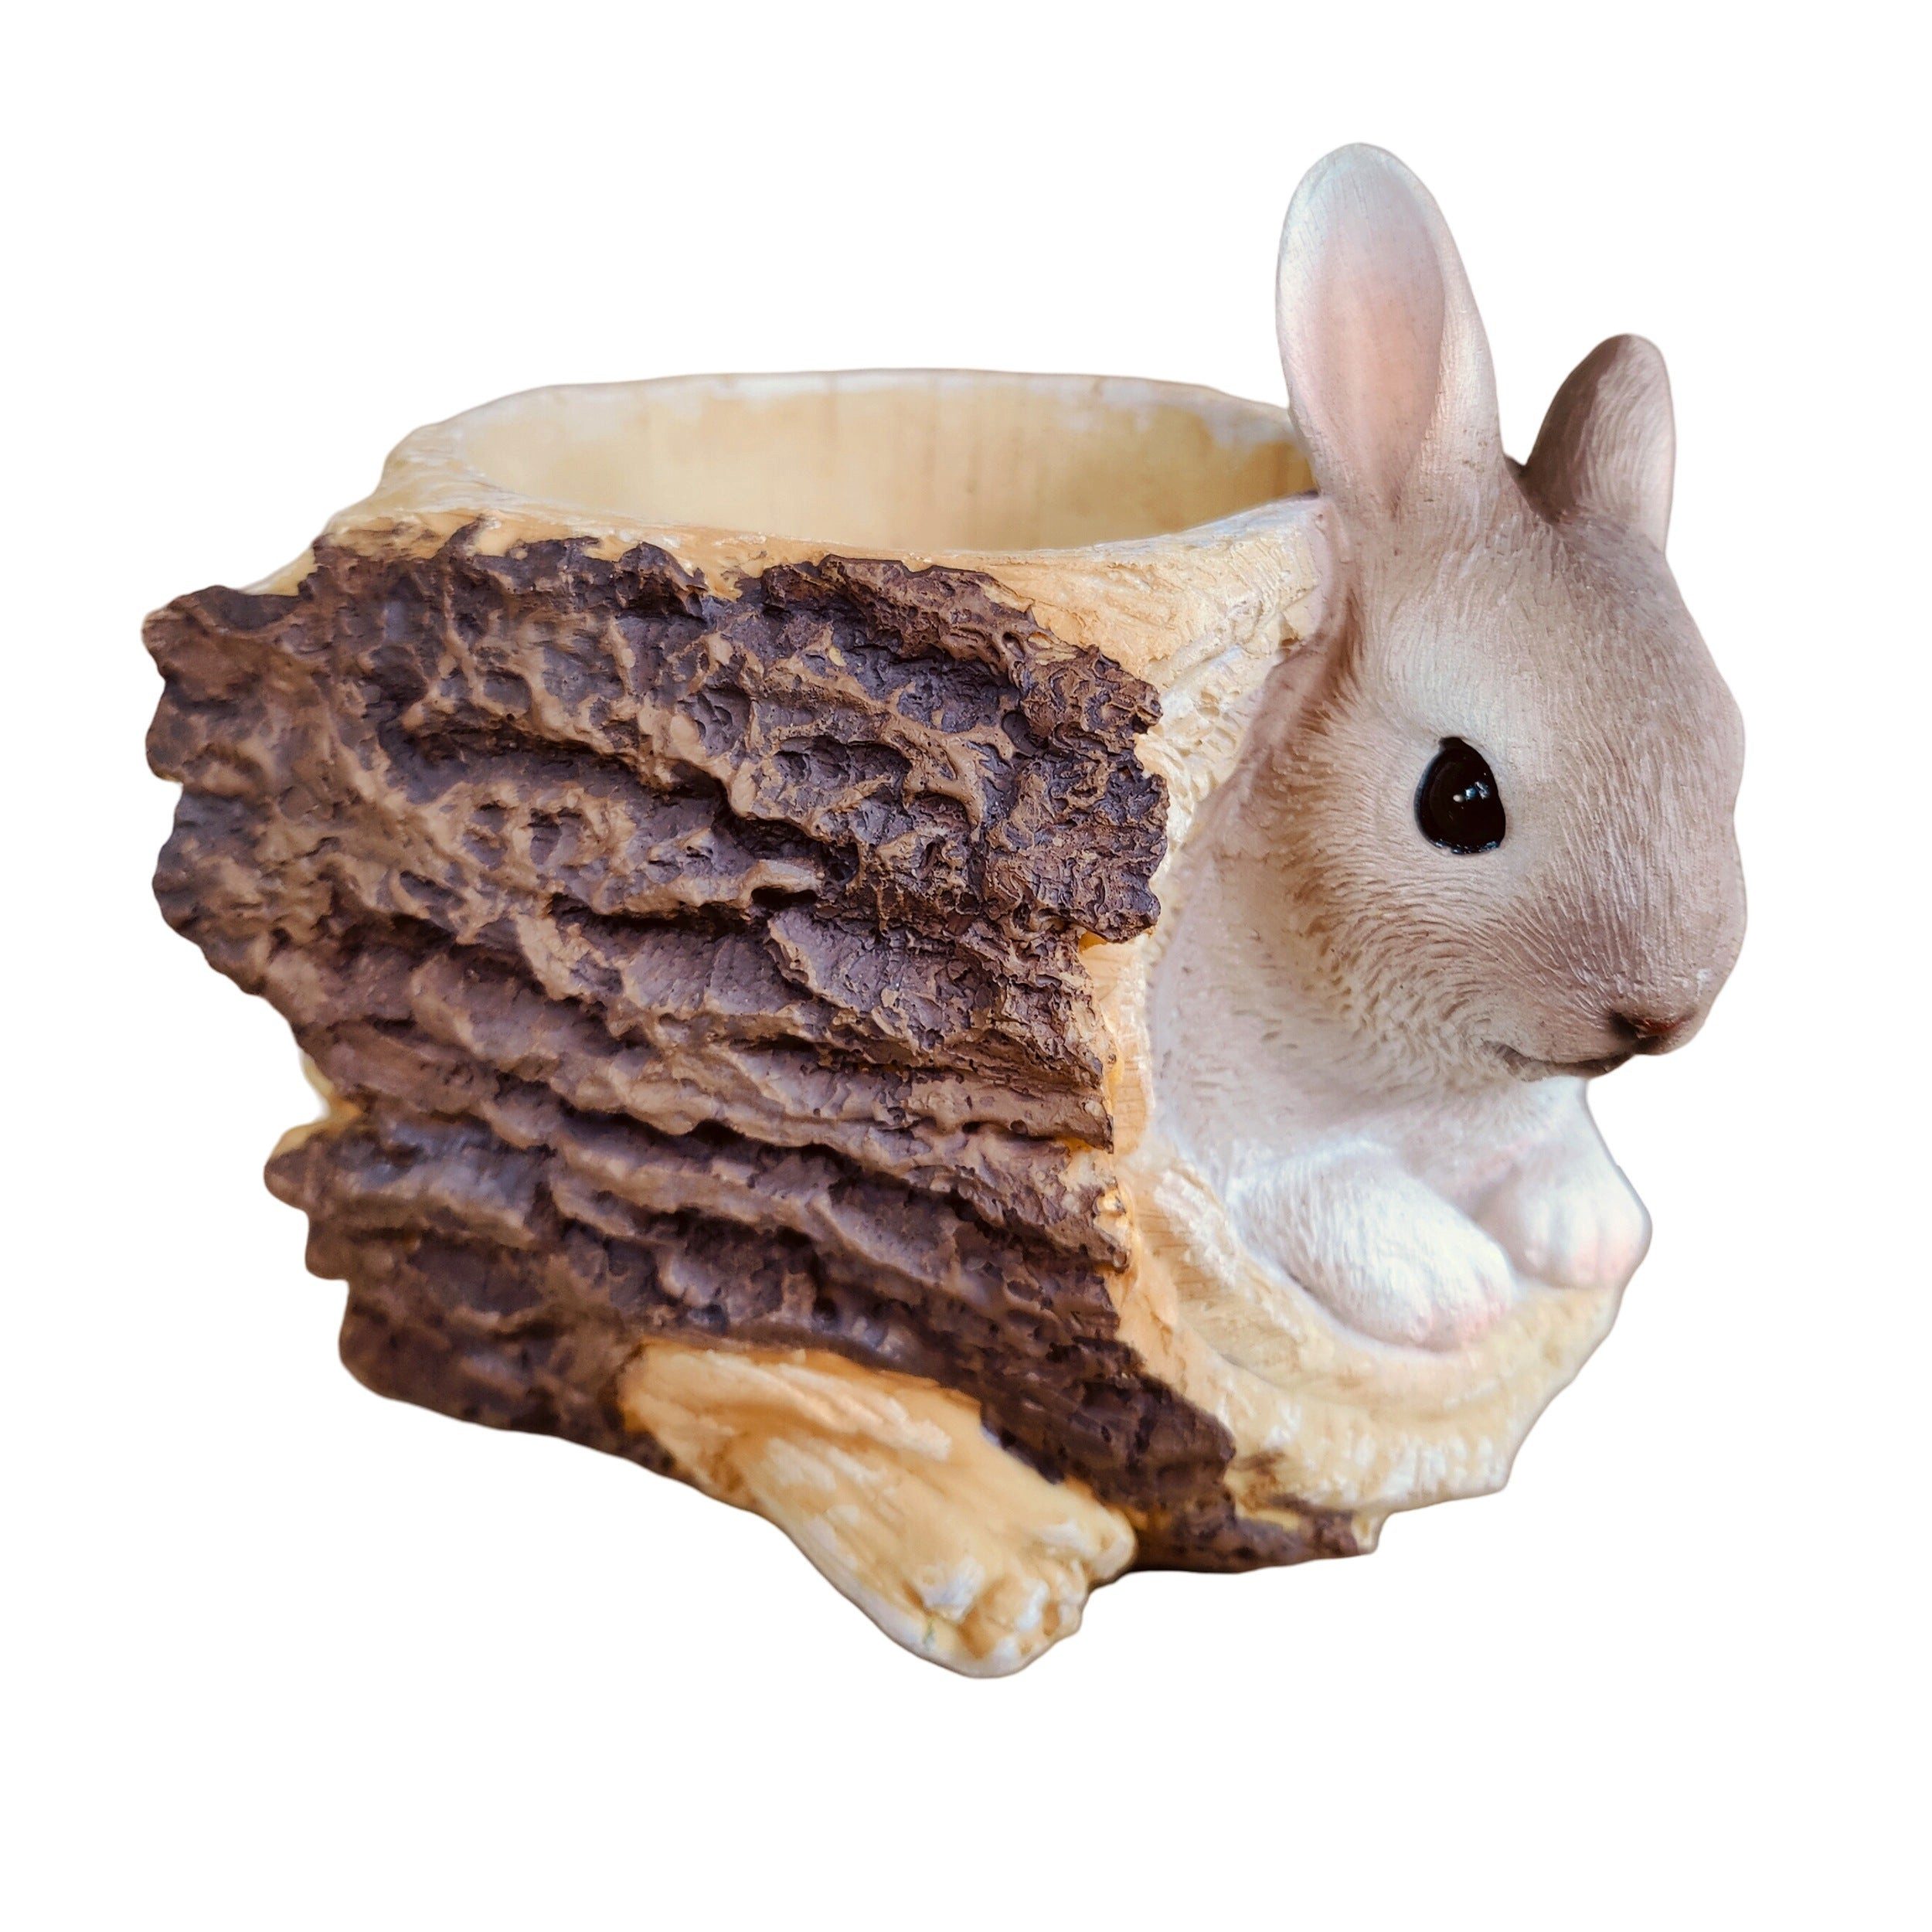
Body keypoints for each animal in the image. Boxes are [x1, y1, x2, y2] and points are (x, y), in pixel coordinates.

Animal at [1152, 144, 1746, 1351]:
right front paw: (1454, 1288)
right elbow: (1336, 1192)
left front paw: (1590, 1231)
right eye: (1459, 801)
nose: (1661, 1012)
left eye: (1732, 749)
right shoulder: (1240, 1146)